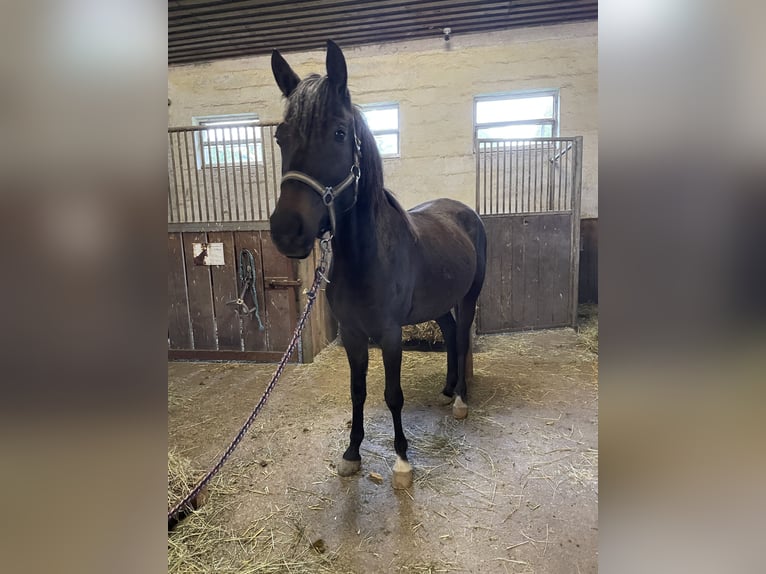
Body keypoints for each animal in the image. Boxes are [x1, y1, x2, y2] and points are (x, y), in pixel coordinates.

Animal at [269, 40, 487, 489]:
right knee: (450, 332)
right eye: (281, 137)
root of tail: (463, 211)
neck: (366, 258)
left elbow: (392, 394)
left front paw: (402, 461)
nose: (286, 232)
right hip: (438, 303)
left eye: (339, 132)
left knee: (462, 336)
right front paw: (352, 454)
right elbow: (358, 391)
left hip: (469, 296)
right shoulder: (354, 334)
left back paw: (460, 399)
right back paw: (447, 388)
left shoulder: (388, 334)